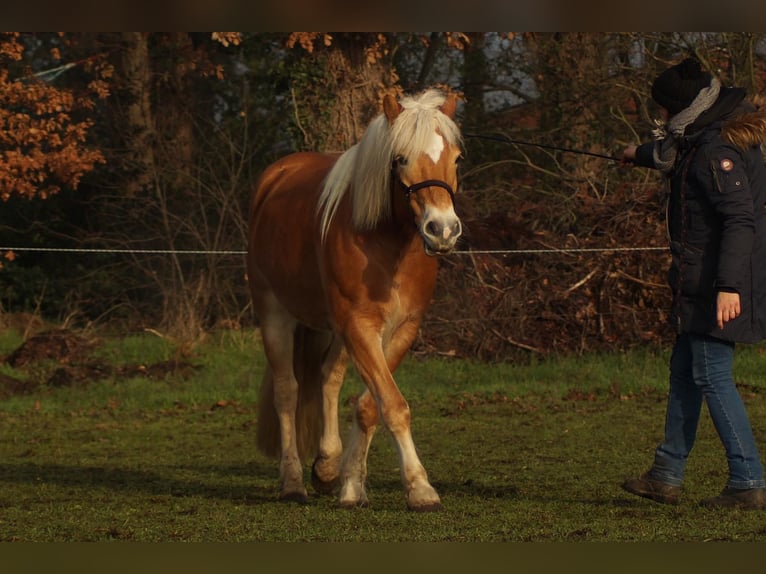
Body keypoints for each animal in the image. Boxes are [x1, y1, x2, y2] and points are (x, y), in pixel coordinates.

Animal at [248, 88, 462, 510]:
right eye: (400, 158)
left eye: (456, 158)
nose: (443, 230)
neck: (387, 242)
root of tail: (275, 177)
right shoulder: (359, 325)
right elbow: (392, 405)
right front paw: (419, 487)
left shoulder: (400, 330)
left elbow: (369, 405)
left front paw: (349, 484)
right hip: (275, 314)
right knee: (287, 392)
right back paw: (293, 482)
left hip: (332, 329)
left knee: (327, 378)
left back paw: (327, 465)